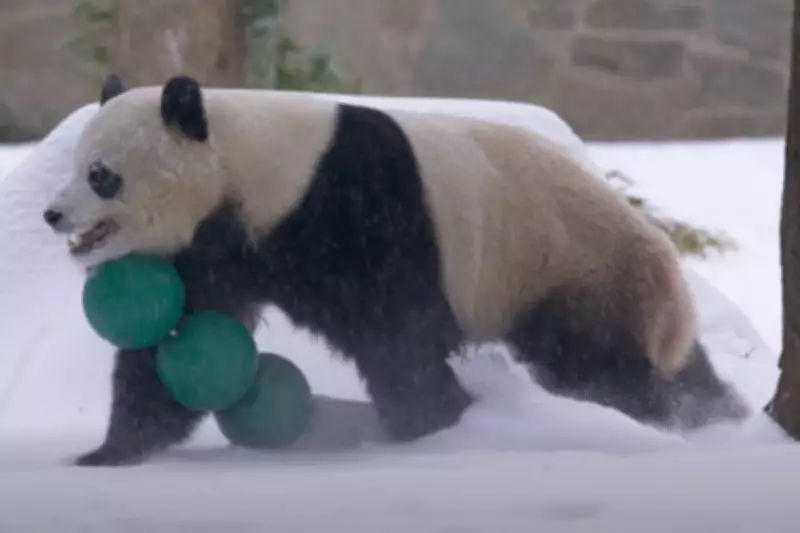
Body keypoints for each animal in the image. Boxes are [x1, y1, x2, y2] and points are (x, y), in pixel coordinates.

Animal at [43, 74, 748, 466]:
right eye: (76, 166)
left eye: (101, 176)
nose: (53, 214)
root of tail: (671, 282)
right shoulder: (217, 246)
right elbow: (174, 342)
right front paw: (112, 451)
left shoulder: (353, 213)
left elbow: (399, 335)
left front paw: (432, 429)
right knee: (675, 371)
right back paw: (723, 417)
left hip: (575, 272)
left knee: (597, 368)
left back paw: (660, 423)